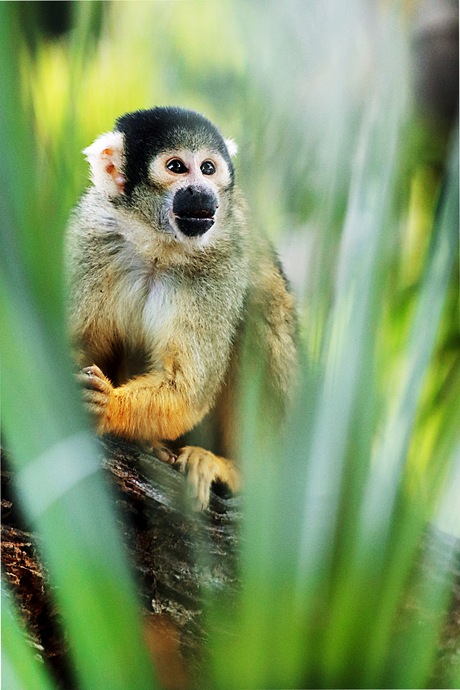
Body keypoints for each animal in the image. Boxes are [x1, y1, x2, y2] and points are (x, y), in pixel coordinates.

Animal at [66, 106, 298, 510]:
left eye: (207, 168)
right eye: (176, 167)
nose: (201, 191)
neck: (157, 245)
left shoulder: (222, 258)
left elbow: (188, 389)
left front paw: (107, 404)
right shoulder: (93, 234)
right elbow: (84, 342)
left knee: (261, 304)